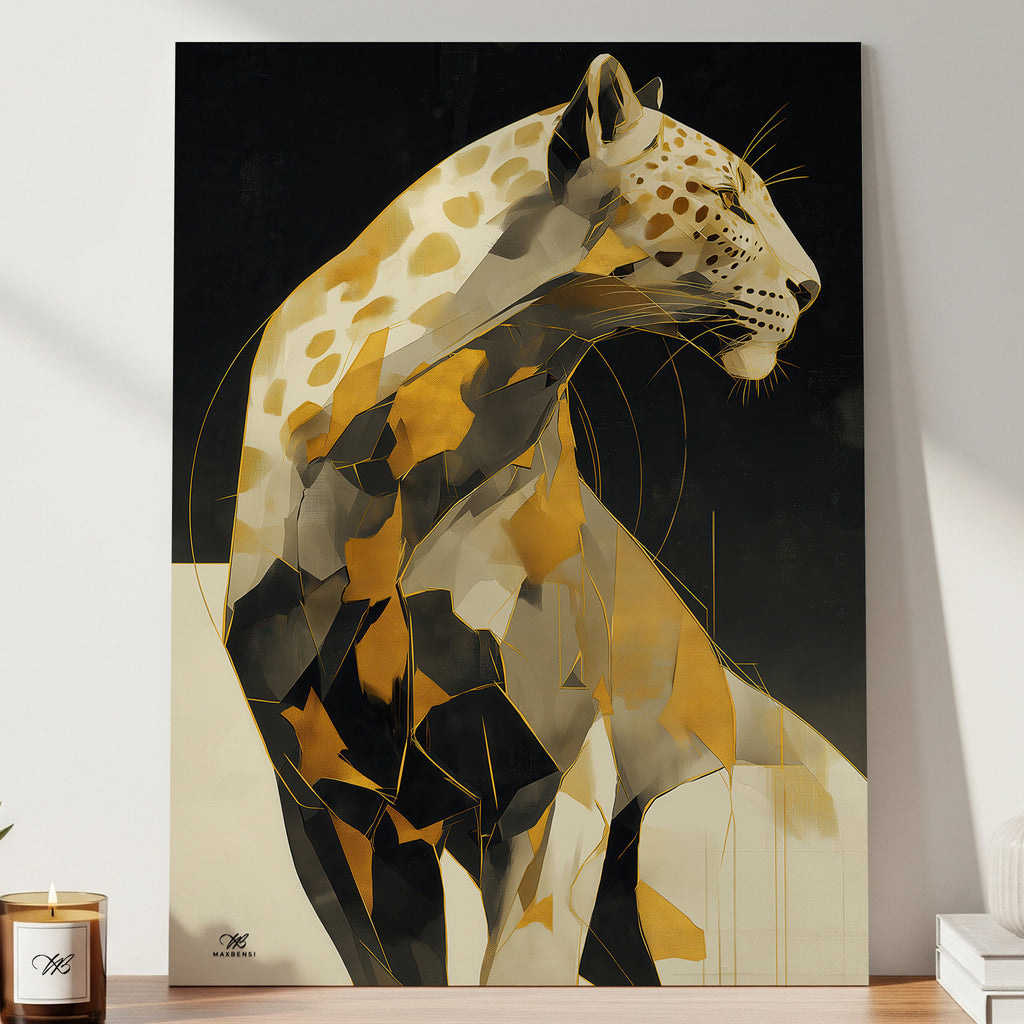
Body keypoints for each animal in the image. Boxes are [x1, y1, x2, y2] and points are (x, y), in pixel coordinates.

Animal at [221, 53, 823, 986]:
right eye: (727, 197)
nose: (813, 288)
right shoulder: (328, 797)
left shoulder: (557, 773)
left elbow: (524, 966)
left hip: (680, 831)